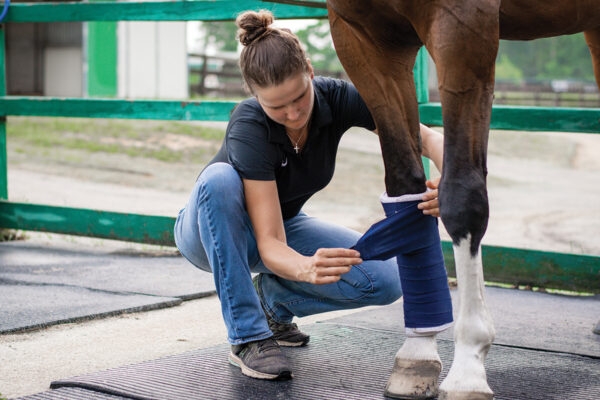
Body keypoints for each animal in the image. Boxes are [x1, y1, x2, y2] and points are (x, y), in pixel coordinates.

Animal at [324, 0, 600, 400]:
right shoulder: (364, 38)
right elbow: (404, 186)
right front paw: (418, 351)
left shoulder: (464, 26)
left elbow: (462, 196)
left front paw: (469, 366)